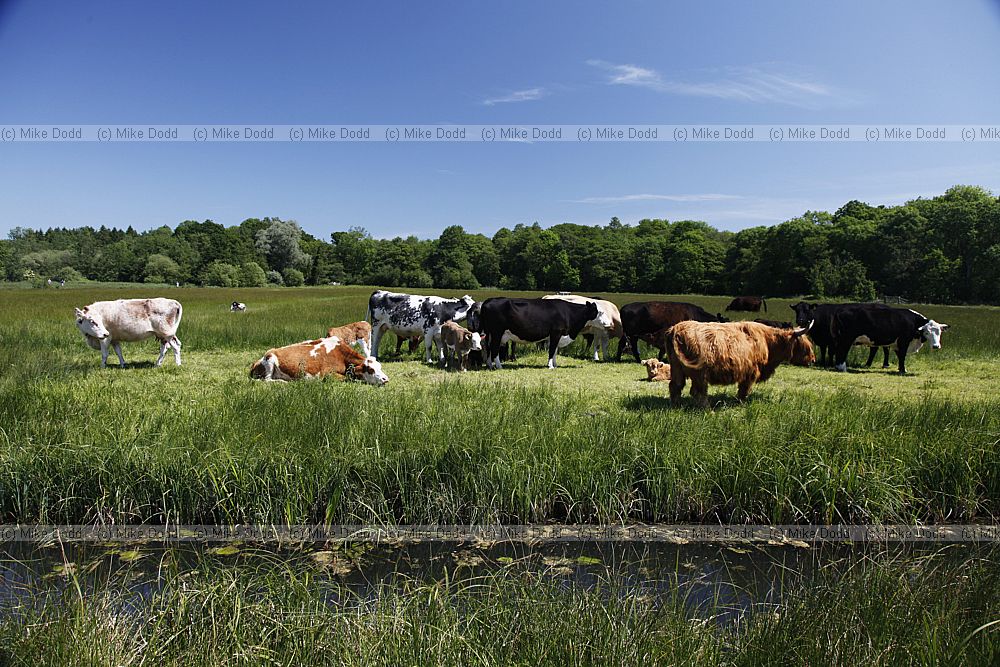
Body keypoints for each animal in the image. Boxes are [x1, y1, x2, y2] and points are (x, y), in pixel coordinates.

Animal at [249, 335, 388, 385]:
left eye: (380, 367)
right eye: (370, 369)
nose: (385, 379)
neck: (341, 355)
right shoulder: (327, 375)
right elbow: (347, 378)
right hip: (270, 359)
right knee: (267, 380)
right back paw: (283, 382)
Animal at [667, 321, 815, 408]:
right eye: (805, 346)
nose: (813, 360)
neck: (769, 342)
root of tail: (676, 329)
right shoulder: (751, 372)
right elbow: (744, 390)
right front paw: (741, 403)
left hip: (677, 368)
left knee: (676, 386)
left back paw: (676, 405)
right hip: (699, 373)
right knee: (698, 392)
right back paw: (708, 410)